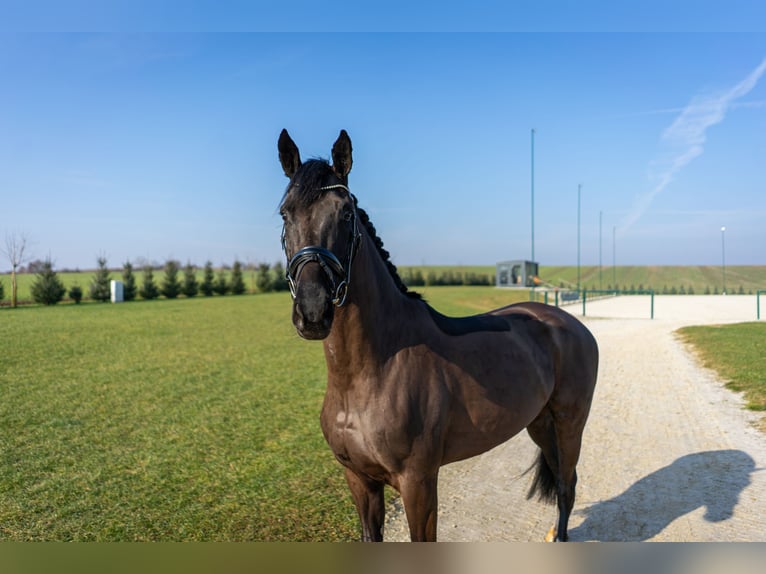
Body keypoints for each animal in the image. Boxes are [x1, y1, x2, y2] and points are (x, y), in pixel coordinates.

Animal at [276, 130, 600, 544]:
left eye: (345, 213)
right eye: (286, 213)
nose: (313, 310)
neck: (370, 373)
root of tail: (567, 322)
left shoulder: (418, 483)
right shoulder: (360, 480)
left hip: (570, 422)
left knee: (566, 485)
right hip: (540, 423)